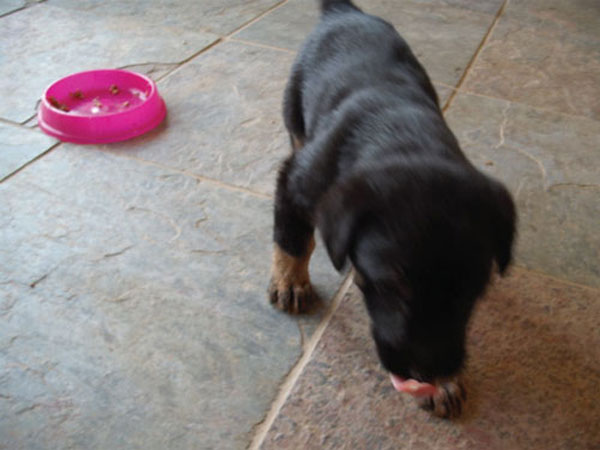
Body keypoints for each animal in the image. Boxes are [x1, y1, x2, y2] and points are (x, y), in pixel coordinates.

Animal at [268, 0, 516, 418]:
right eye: (390, 286)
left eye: (473, 293)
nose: (427, 372)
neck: (402, 138)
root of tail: (344, 12)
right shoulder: (295, 180)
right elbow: (292, 239)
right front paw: (291, 282)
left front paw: (445, 384)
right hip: (294, 108)